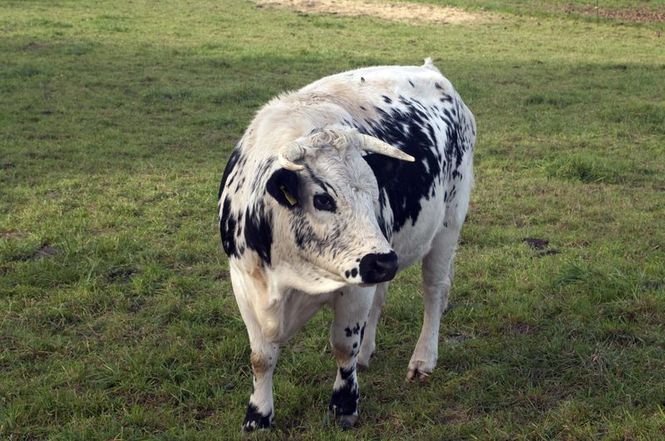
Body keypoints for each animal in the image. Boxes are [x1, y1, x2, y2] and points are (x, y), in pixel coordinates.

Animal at [217, 58, 472, 430]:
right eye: (323, 199)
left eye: (374, 191)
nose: (383, 262)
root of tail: (431, 70)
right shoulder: (245, 282)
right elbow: (261, 356)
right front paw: (258, 415)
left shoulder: (353, 288)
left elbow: (343, 345)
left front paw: (344, 405)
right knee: (381, 297)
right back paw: (368, 353)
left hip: (447, 224)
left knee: (434, 292)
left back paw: (423, 359)